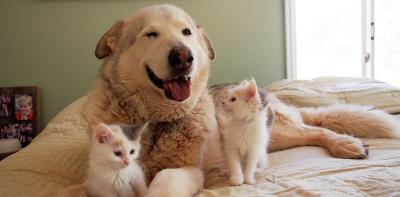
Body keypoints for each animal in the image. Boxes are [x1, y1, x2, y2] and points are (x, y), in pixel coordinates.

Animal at [84, 3, 400, 196]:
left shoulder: (186, 170)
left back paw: (346, 143)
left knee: (316, 130)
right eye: (150, 34)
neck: (157, 120)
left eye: (186, 32)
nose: (184, 56)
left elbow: (163, 182)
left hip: (278, 131)